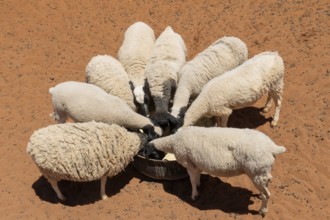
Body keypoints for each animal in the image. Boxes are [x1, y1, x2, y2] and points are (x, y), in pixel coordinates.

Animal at [142, 126, 286, 216]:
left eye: (145, 150)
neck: (172, 142)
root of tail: (272, 147)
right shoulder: (197, 163)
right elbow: (197, 177)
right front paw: (199, 185)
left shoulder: (189, 164)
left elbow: (192, 180)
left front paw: (194, 195)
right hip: (262, 173)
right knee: (266, 187)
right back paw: (260, 197)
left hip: (257, 172)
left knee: (268, 195)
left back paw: (263, 210)